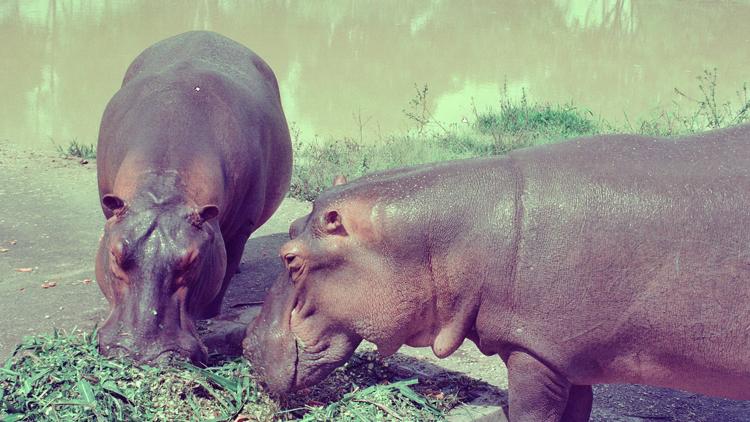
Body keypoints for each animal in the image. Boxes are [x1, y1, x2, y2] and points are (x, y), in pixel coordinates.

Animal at [94, 30, 294, 362]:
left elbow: (224, 272)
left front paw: (210, 318)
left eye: (192, 260)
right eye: (115, 253)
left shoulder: (239, 228)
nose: (141, 352)